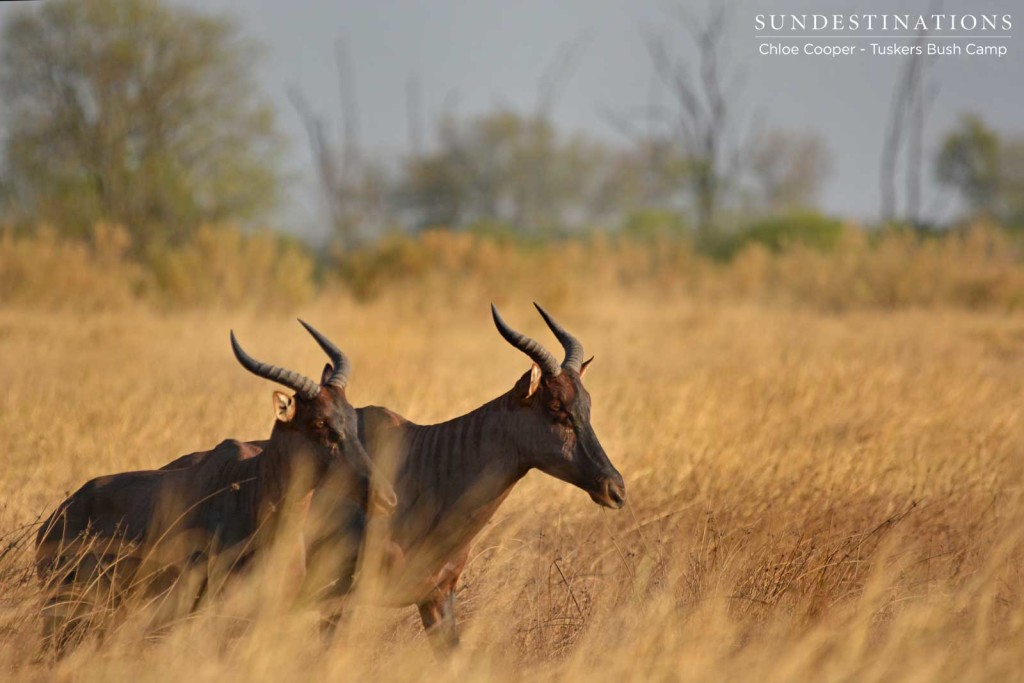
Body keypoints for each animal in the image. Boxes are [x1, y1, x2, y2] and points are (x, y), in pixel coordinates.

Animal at [305, 305, 622, 655]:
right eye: (556, 405)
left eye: (587, 404)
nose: (614, 488)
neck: (421, 461)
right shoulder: (339, 598)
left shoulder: (438, 597)